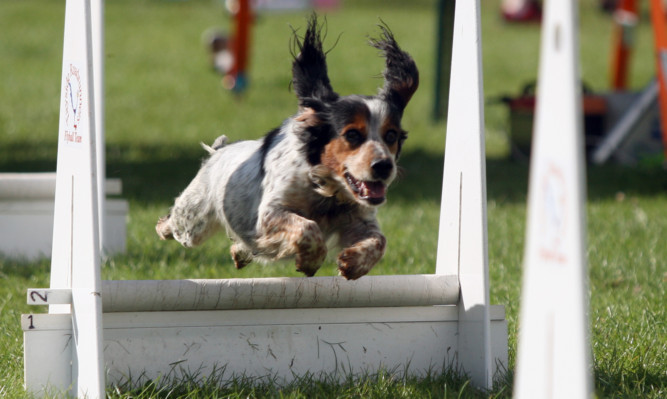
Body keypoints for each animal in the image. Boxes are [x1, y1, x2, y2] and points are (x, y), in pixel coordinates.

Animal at [157, 14, 418, 280]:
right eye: (353, 134)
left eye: (391, 135)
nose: (384, 166)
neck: (325, 191)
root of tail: (219, 152)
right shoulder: (270, 213)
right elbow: (309, 227)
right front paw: (310, 261)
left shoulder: (359, 217)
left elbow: (380, 241)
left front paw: (353, 263)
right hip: (193, 221)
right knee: (172, 223)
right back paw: (164, 227)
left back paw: (240, 253)